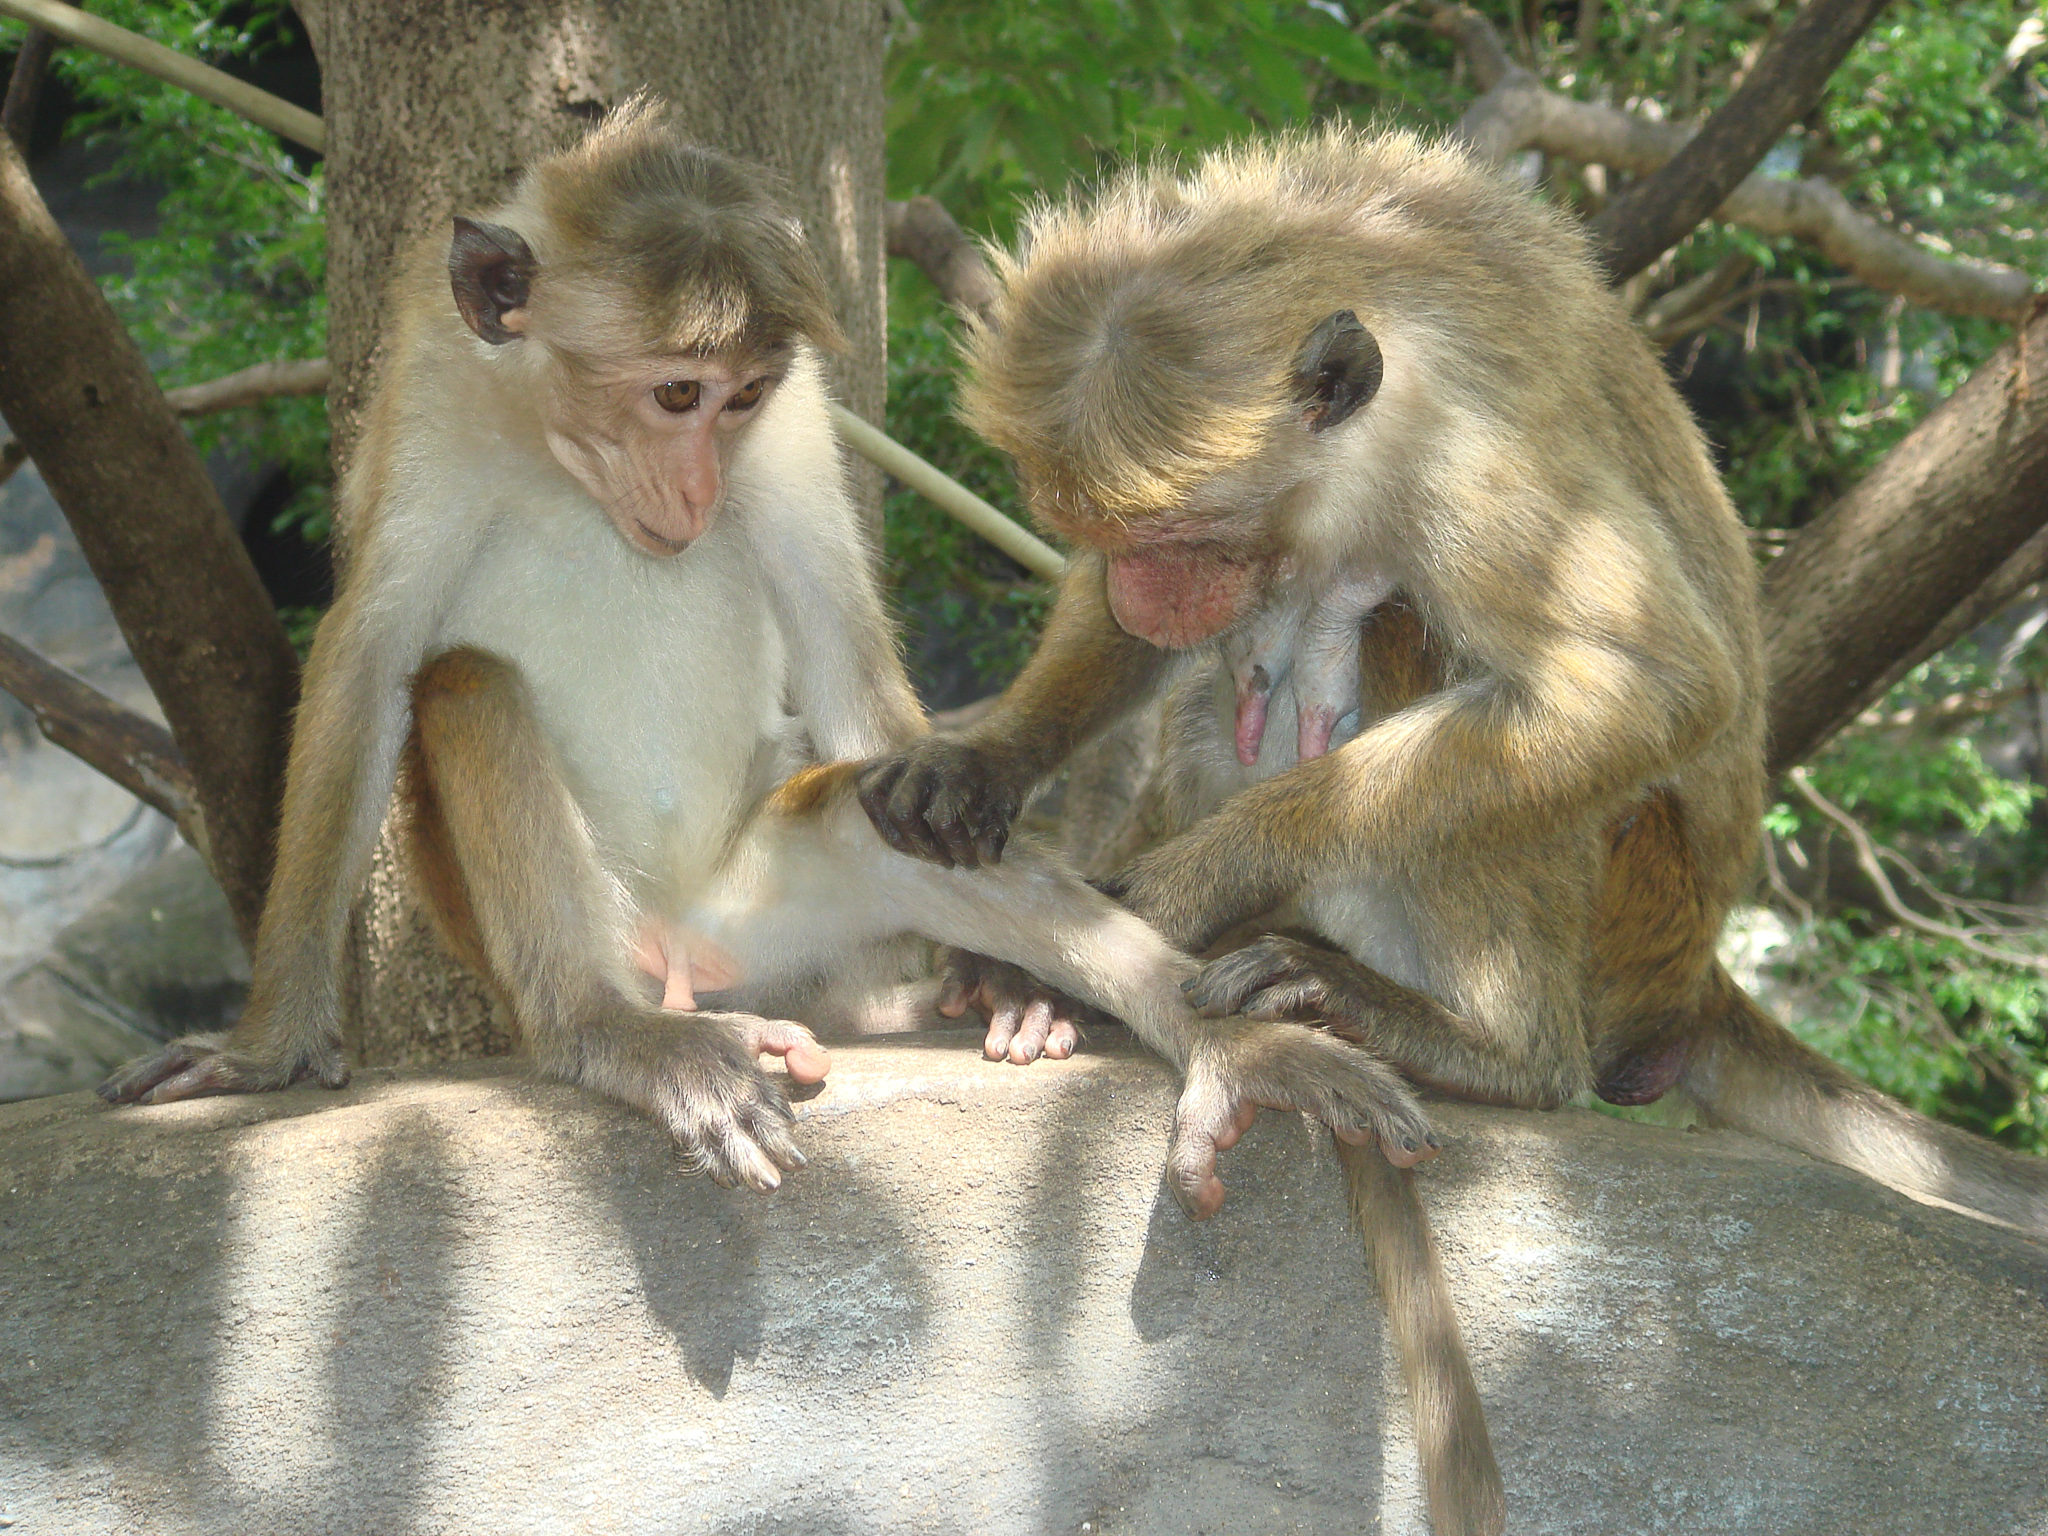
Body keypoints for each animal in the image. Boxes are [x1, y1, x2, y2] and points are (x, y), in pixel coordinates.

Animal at [95, 103, 1439, 1218]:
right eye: (672, 393)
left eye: (737, 399)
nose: (694, 493)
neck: (560, 458)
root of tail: (691, 957)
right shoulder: (428, 387)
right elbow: (372, 659)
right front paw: (265, 1048)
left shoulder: (796, 419)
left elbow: (846, 671)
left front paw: (992, 958)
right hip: (583, 936)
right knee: (467, 685)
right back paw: (619, 1039)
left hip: (765, 904)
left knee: (866, 816)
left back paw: (1221, 1042)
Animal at [857, 125, 2048, 1535]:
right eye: (1101, 533)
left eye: (1181, 532)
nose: (1147, 591)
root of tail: (1693, 972)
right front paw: (984, 763)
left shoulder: (1464, 458)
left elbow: (1649, 688)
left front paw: (1177, 891)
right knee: (1239, 668)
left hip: (1631, 906)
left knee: (1430, 644)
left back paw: (1479, 1049)